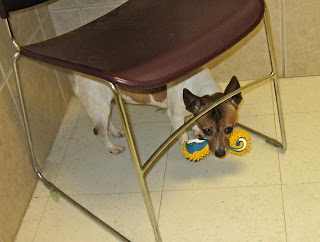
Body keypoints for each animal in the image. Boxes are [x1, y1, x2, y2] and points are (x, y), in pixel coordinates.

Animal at [72, 68, 240, 157]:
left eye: (229, 129)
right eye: (208, 130)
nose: (220, 153)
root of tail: (76, 76)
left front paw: (195, 129)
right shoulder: (175, 116)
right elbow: (183, 136)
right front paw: (187, 147)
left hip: (104, 106)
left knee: (106, 123)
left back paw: (115, 132)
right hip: (99, 106)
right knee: (99, 131)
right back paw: (112, 147)